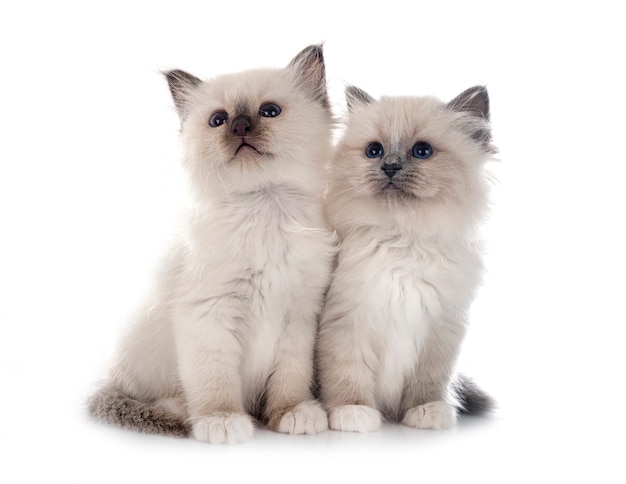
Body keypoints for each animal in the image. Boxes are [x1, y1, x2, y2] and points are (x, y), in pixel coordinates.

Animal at [88, 44, 336, 442]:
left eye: (269, 112)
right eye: (218, 120)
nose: (240, 127)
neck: (265, 211)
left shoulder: (298, 316)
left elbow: (290, 378)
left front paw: (292, 413)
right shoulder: (208, 314)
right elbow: (214, 380)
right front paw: (222, 420)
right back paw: (178, 408)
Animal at [316, 83, 498, 432]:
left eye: (422, 151)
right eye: (374, 151)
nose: (390, 166)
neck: (403, 237)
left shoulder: (440, 329)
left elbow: (428, 382)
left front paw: (426, 411)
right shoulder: (347, 321)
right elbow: (347, 374)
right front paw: (353, 413)